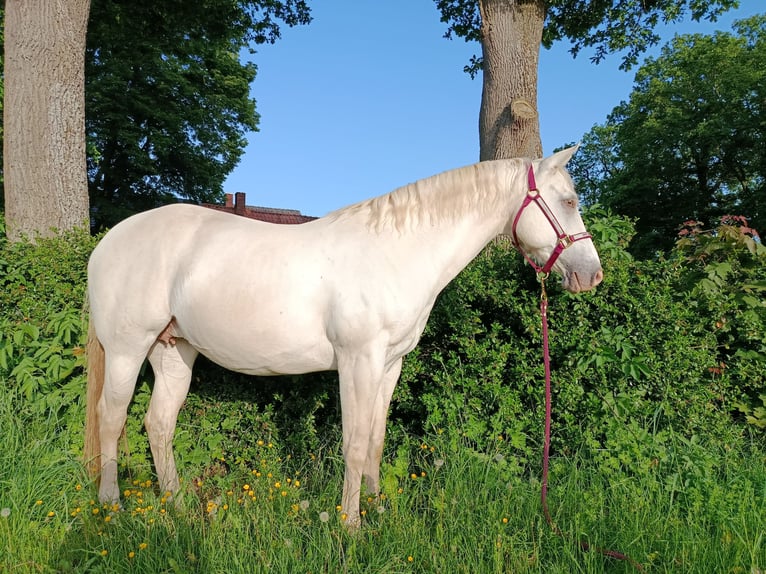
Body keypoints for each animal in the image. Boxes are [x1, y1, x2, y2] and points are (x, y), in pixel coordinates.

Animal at [84, 146, 602, 526]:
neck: (395, 251)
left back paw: (177, 505)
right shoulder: (359, 361)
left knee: (158, 424)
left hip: (173, 352)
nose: (592, 275)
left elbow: (374, 439)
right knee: (111, 419)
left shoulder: (389, 364)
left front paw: (376, 511)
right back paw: (111, 504)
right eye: (569, 201)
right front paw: (350, 525)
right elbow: (353, 442)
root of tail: (107, 242)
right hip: (128, 350)